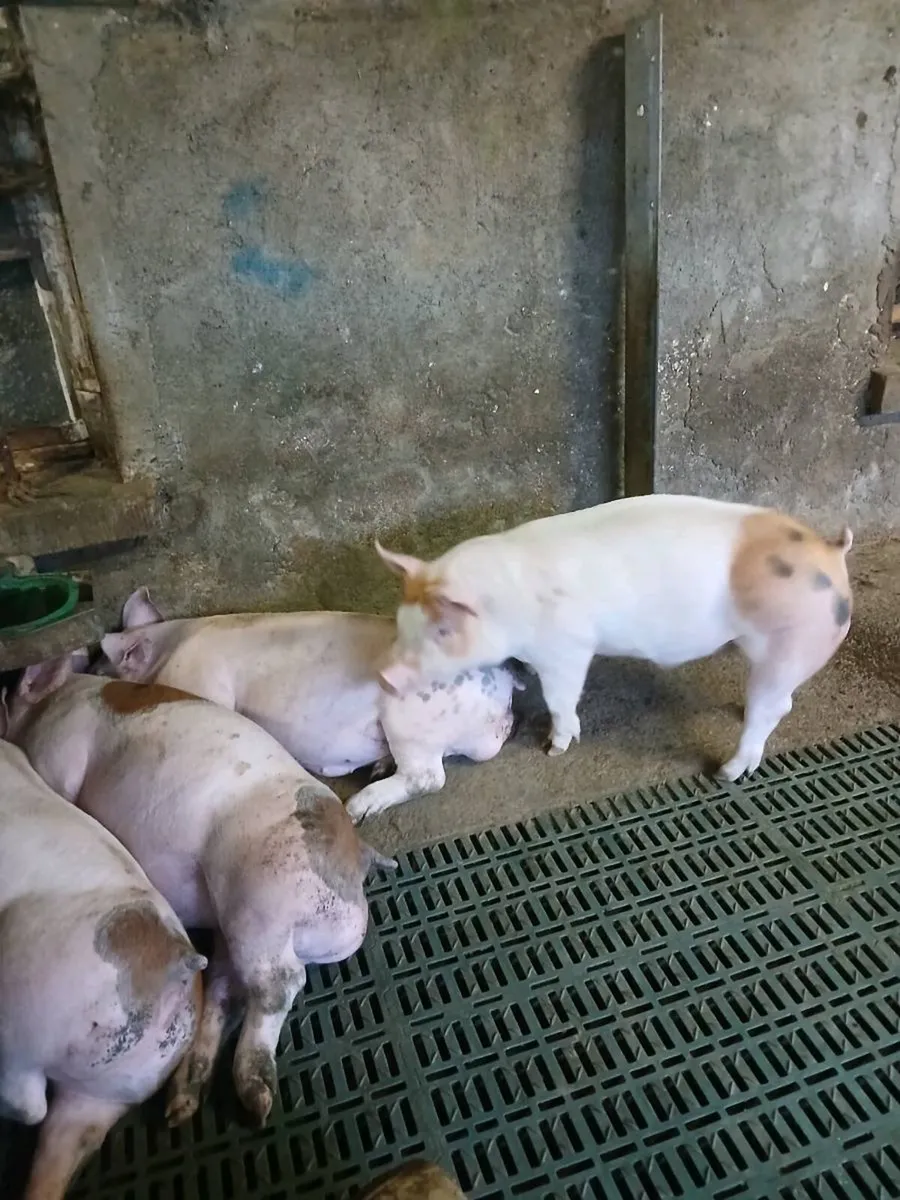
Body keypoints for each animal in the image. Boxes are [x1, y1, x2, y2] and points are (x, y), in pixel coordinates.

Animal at [3, 658, 395, 1129]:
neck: (50, 703)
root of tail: (356, 858)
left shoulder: (56, 758)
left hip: (262, 899)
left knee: (278, 984)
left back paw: (256, 1103)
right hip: (233, 924)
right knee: (226, 991)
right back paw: (180, 1107)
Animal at [97, 596, 519, 824]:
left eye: (103, 667)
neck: (170, 646)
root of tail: (500, 685)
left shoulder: (202, 680)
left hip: (411, 720)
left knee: (428, 777)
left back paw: (357, 808)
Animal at [374, 494, 854, 782]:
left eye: (442, 629)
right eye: (402, 619)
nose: (385, 676)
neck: (506, 604)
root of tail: (830, 552)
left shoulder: (566, 648)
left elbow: (561, 697)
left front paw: (554, 749)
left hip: (791, 644)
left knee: (771, 708)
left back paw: (726, 771)